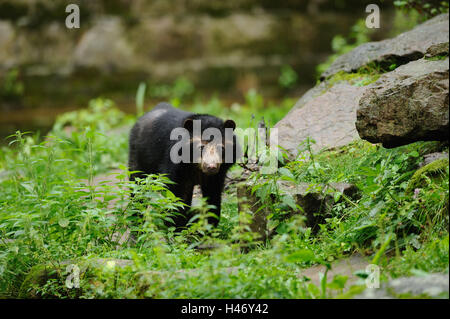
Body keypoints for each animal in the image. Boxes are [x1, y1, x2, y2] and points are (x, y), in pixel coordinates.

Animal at [127, 102, 239, 230]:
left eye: (221, 148)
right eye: (201, 147)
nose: (211, 167)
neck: (195, 166)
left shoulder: (217, 174)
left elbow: (213, 197)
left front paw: (209, 227)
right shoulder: (174, 165)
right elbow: (176, 195)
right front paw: (176, 227)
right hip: (139, 155)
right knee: (138, 185)